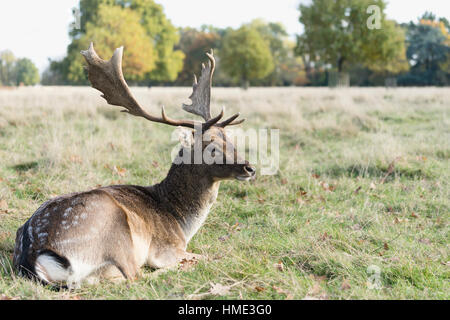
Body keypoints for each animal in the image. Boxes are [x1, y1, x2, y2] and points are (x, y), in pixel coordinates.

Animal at [12, 43, 255, 288]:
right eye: (211, 147)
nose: (249, 168)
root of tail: (33, 256)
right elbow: (207, 256)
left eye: (230, 140)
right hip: (115, 227)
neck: (180, 222)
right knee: (135, 276)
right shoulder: (167, 248)